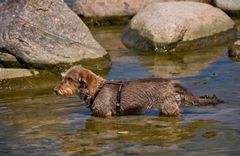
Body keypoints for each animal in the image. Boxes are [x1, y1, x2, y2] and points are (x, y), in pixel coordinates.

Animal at [54, 65, 223, 117]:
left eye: (69, 79)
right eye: (64, 77)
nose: (54, 90)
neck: (96, 89)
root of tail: (173, 84)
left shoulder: (104, 114)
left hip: (168, 107)